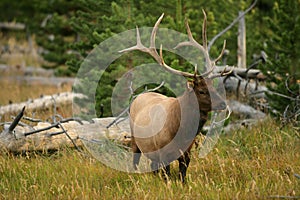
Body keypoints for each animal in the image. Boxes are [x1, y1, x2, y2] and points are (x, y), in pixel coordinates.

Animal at [119, 10, 227, 183]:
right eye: (202, 91)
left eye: (213, 87)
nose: (223, 104)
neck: (181, 132)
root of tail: (138, 97)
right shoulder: (163, 152)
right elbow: (168, 177)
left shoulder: (187, 152)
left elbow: (182, 176)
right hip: (135, 140)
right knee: (135, 162)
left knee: (153, 167)